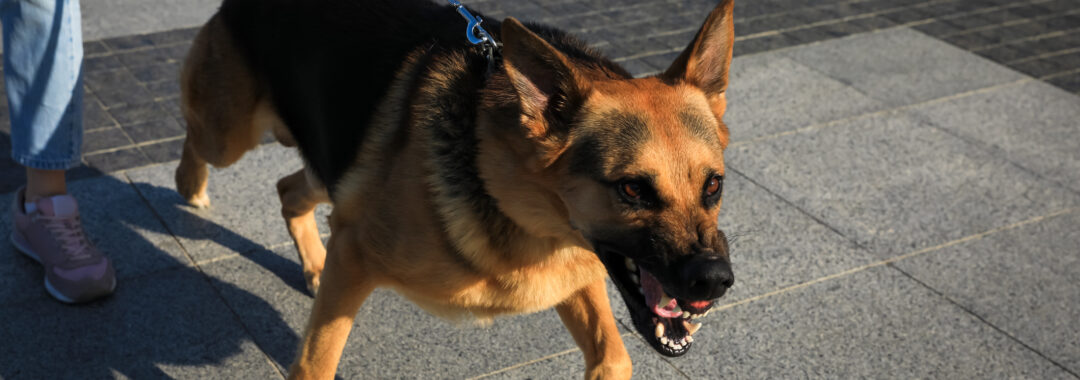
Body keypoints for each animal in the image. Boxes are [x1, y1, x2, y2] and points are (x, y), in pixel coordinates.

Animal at [177, 0, 738, 375]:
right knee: (197, 139)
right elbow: (316, 361)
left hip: (328, 167)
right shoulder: (355, 254)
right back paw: (189, 184)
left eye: (714, 185)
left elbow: (613, 357)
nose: (715, 282)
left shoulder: (578, 275)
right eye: (632, 190)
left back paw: (312, 263)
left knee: (289, 189)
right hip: (229, 135)